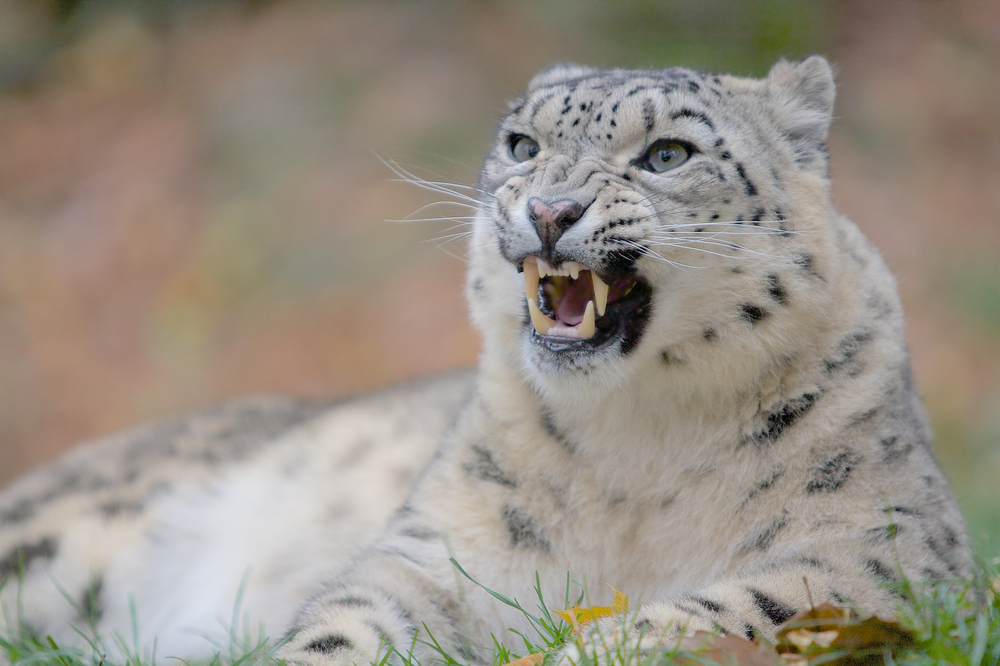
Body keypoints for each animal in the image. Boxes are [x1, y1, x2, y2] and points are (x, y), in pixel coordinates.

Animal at [0, 57, 968, 664]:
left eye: (668, 154)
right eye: (522, 146)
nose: (548, 208)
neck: (638, 447)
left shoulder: (883, 551)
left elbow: (736, 604)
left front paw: (591, 648)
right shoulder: (433, 547)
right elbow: (353, 615)